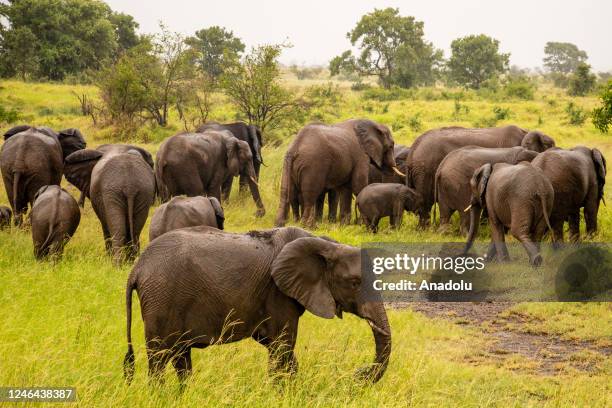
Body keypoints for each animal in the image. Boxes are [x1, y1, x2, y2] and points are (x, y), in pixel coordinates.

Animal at [124, 226, 392, 386]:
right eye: (355, 283)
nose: (358, 373)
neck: (325, 244)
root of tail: (137, 268)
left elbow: (278, 348)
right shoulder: (278, 293)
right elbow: (282, 347)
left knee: (181, 358)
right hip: (161, 299)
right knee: (159, 359)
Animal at [406, 124, 556, 230]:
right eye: (550, 145)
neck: (525, 132)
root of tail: (413, 150)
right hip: (425, 172)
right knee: (426, 203)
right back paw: (424, 230)